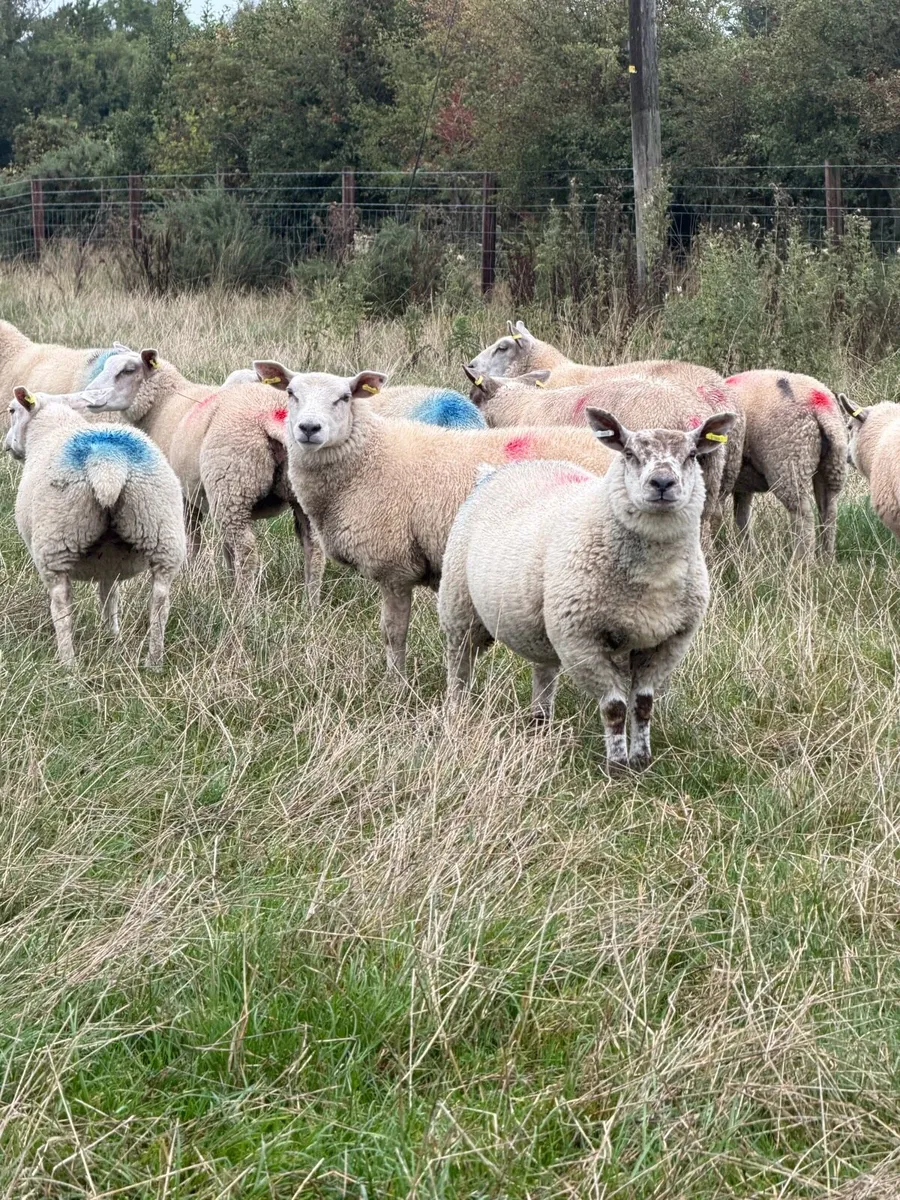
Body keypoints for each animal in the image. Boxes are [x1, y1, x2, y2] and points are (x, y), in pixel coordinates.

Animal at [4, 388, 186, 667]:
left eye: (12, 410)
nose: (6, 444)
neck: (53, 425)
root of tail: (108, 463)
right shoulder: (109, 563)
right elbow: (110, 596)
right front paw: (112, 637)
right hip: (163, 531)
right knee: (160, 602)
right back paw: (153, 662)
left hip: (56, 539)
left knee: (62, 605)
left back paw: (68, 664)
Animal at [80, 349, 326, 597]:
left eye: (128, 370)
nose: (89, 396)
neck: (165, 403)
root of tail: (272, 417)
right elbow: (224, 548)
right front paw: (225, 579)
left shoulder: (183, 494)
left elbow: (193, 539)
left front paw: (188, 578)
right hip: (292, 491)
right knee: (313, 546)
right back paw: (310, 600)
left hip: (232, 484)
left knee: (246, 549)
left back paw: (244, 600)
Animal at [267, 363, 615, 676]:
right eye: (291, 393)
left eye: (344, 397)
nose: (309, 429)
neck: (368, 459)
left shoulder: (394, 567)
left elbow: (393, 633)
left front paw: (395, 686)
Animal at [438, 407, 737, 772]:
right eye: (629, 454)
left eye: (692, 454)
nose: (662, 483)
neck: (653, 580)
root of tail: (495, 472)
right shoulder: (581, 640)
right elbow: (615, 707)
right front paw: (618, 766)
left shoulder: (668, 642)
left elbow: (643, 704)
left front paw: (642, 760)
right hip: (459, 606)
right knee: (459, 667)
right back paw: (458, 714)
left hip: (544, 622)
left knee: (544, 670)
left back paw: (540, 723)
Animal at [725, 370, 848, 558]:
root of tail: (820, 407)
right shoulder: (741, 485)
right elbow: (742, 516)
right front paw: (750, 554)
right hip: (833, 463)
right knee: (829, 511)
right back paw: (825, 558)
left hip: (788, 460)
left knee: (803, 516)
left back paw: (801, 561)